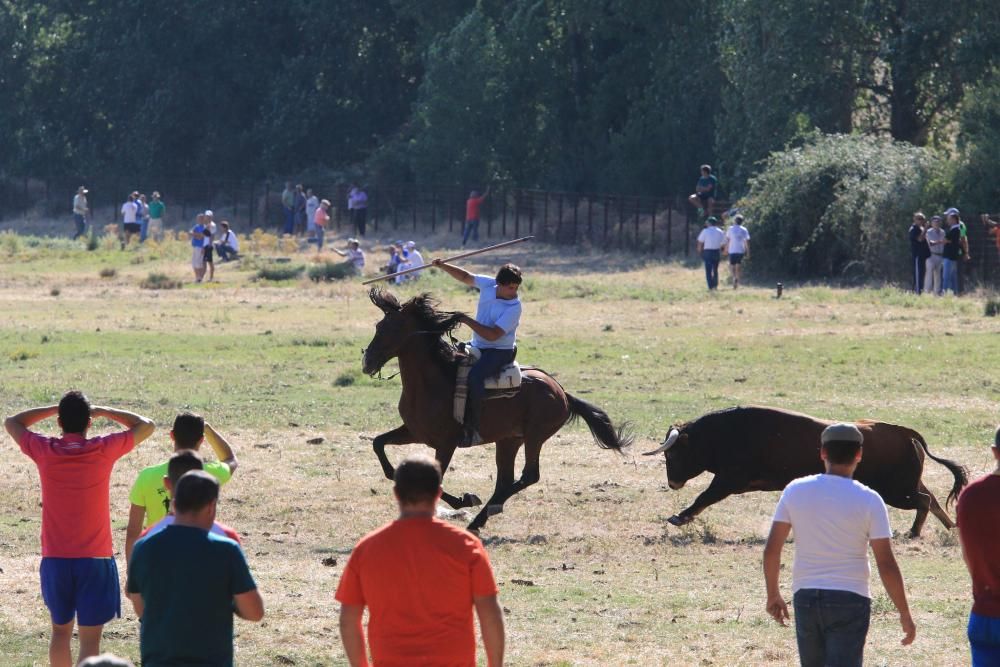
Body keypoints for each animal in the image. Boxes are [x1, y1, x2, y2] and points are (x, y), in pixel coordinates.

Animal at [366, 288, 632, 532]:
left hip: (535, 436)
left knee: (529, 476)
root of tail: (561, 392)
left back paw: (486, 511)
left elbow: (437, 479)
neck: (433, 382)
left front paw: (464, 499)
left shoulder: (446, 442)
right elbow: (379, 445)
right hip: (509, 440)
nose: (367, 361)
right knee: (505, 480)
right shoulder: (414, 432)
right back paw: (482, 517)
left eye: (390, 329)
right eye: (379, 325)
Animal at [644, 404, 964, 540]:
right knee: (933, 500)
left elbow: (704, 497)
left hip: (896, 491)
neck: (724, 434)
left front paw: (679, 518)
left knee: (924, 501)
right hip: (907, 485)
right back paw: (951, 529)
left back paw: (914, 532)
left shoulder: (729, 479)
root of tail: (905, 433)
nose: (672, 482)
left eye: (673, 453)